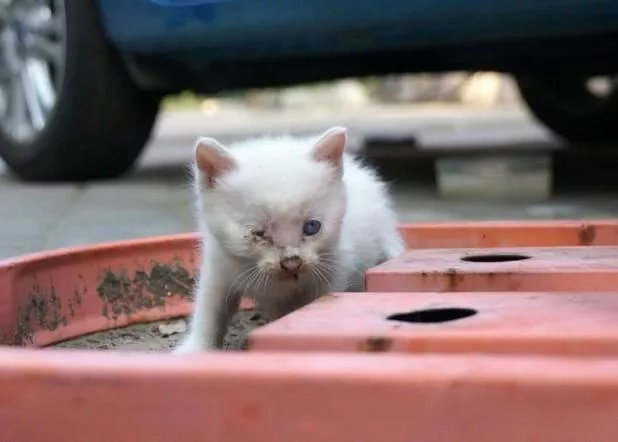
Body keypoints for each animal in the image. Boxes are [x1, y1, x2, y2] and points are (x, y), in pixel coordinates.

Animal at [174, 127, 404, 352]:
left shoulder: (333, 268)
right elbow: (211, 307)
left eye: (312, 227)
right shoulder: (218, 263)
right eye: (258, 233)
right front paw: (195, 348)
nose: (292, 263)